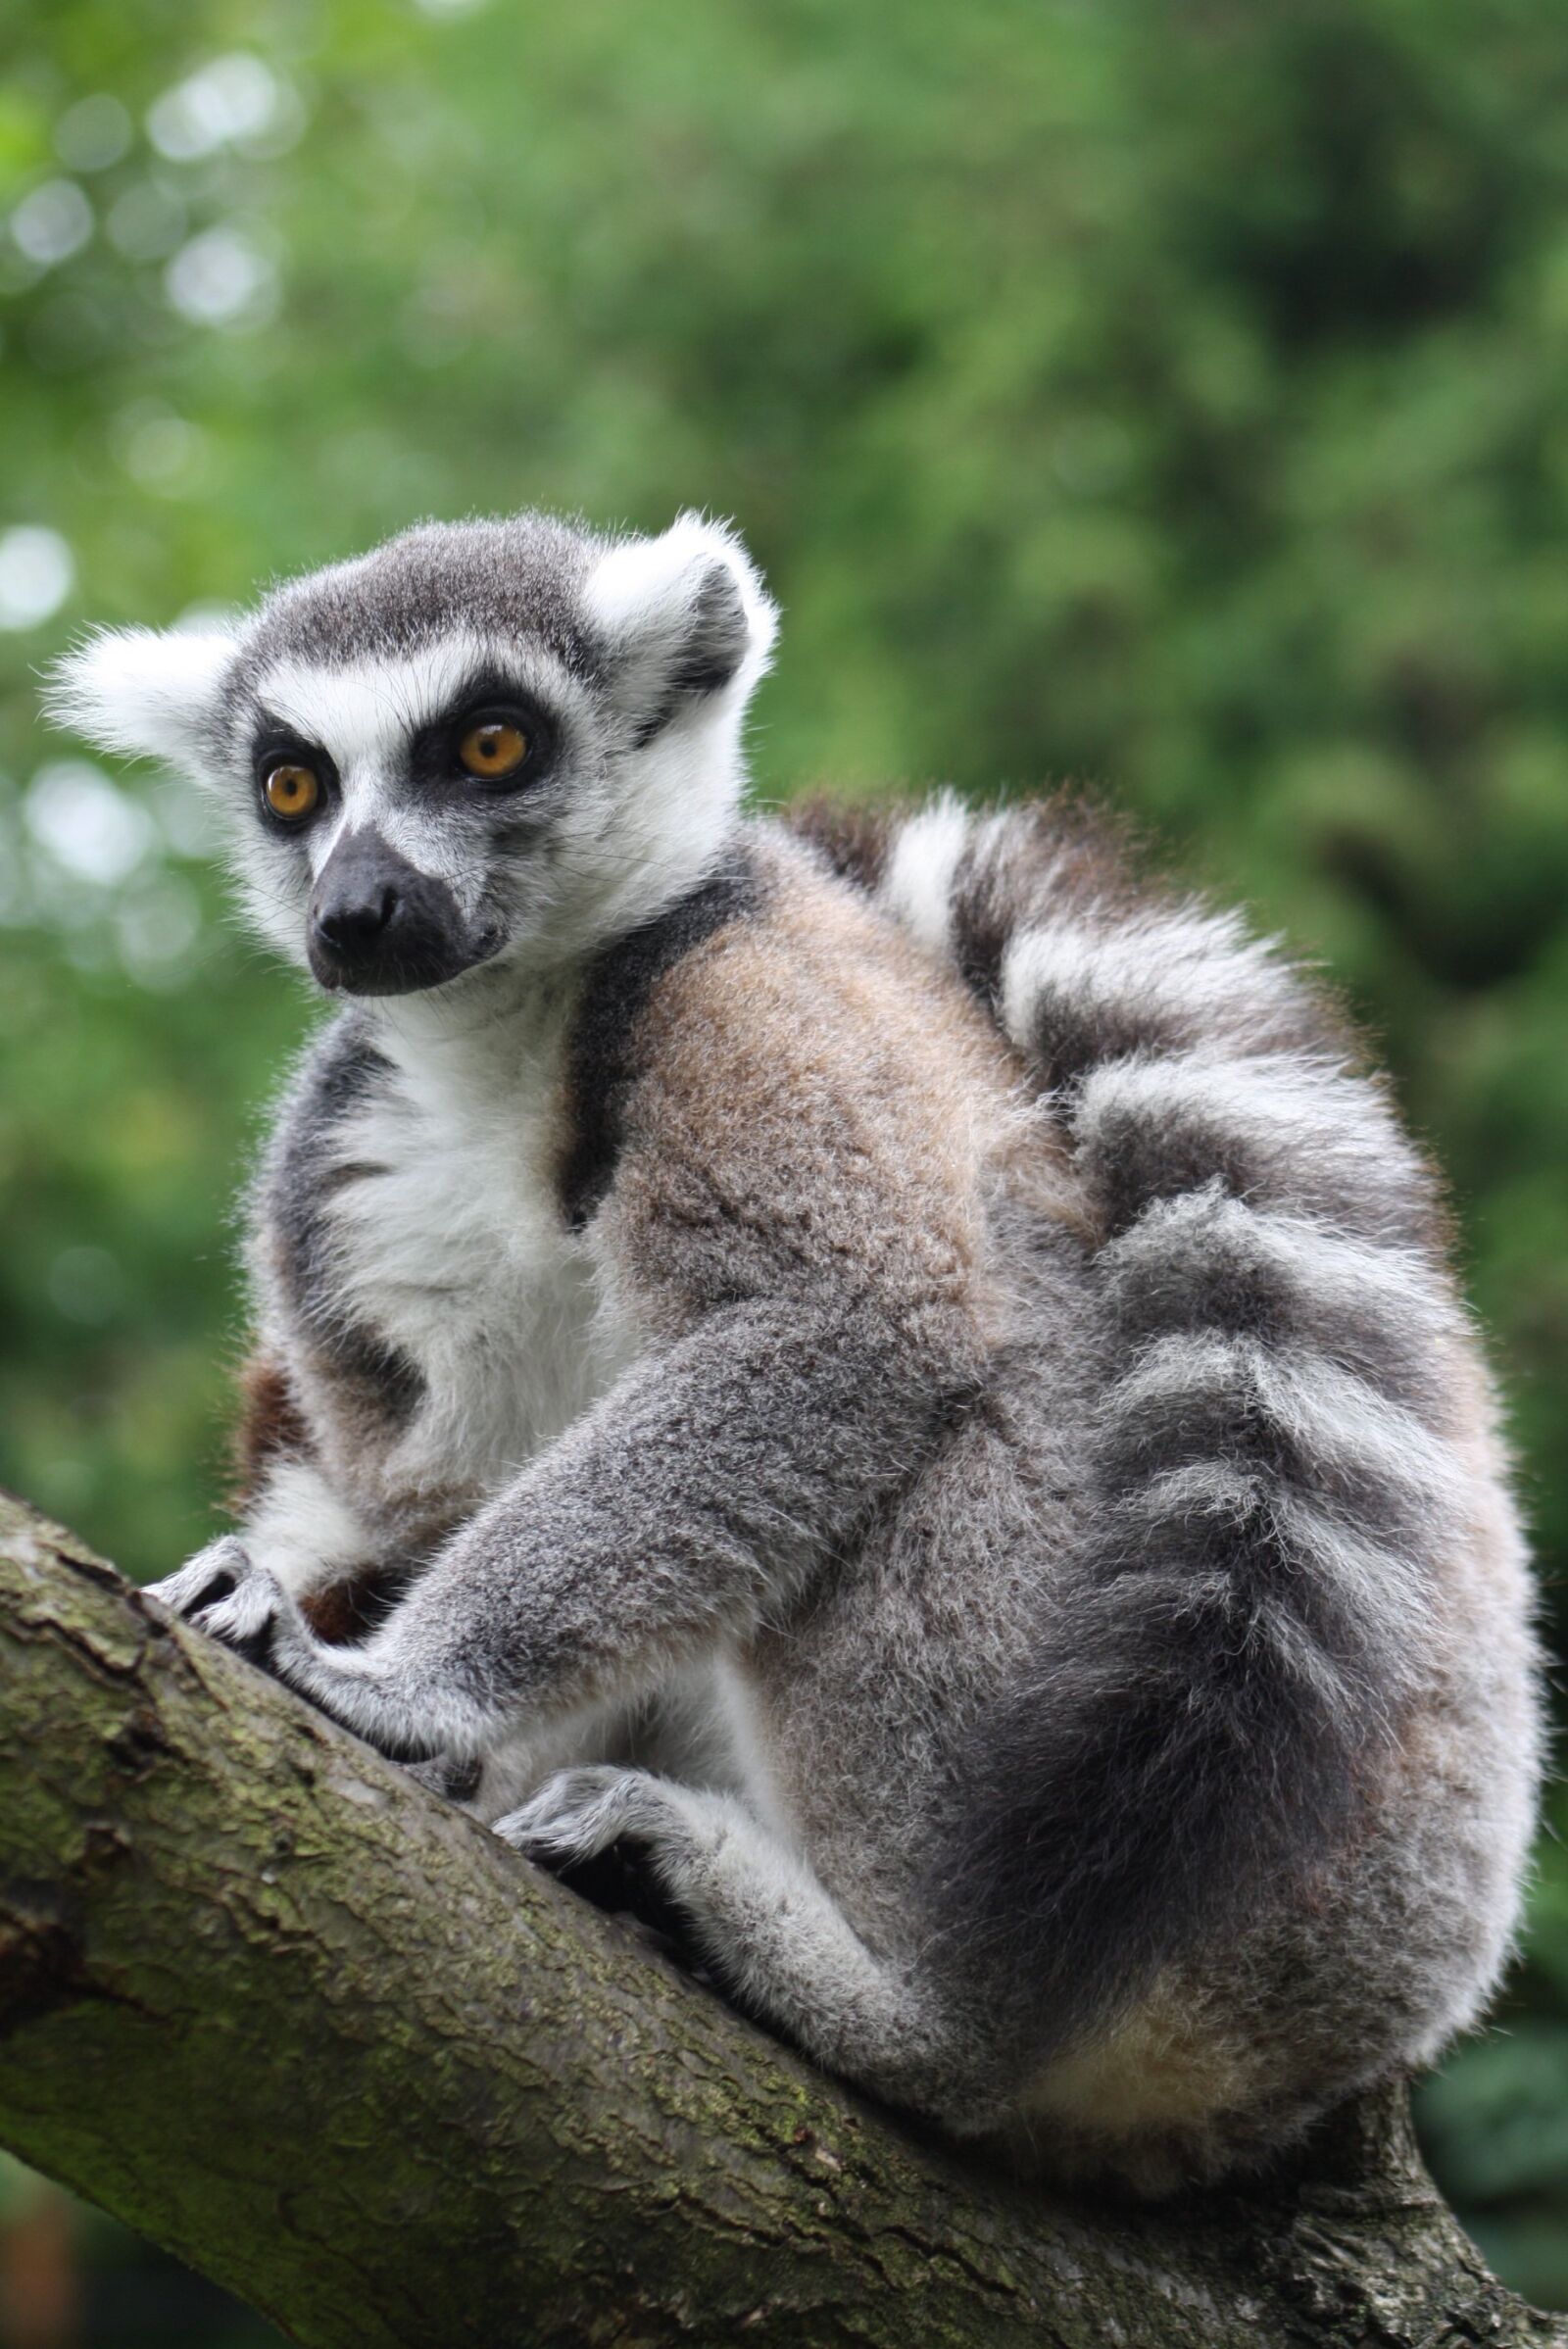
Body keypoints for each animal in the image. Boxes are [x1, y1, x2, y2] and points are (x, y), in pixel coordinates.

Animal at [50, 509, 1541, 2190]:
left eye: (490, 744)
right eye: (292, 784)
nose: (357, 911)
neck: (507, 1052)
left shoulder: (742, 1000)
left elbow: (844, 1322)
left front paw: (399, 1691)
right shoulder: (349, 1161)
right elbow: (411, 1481)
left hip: (1234, 1843)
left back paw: (901, 2007)